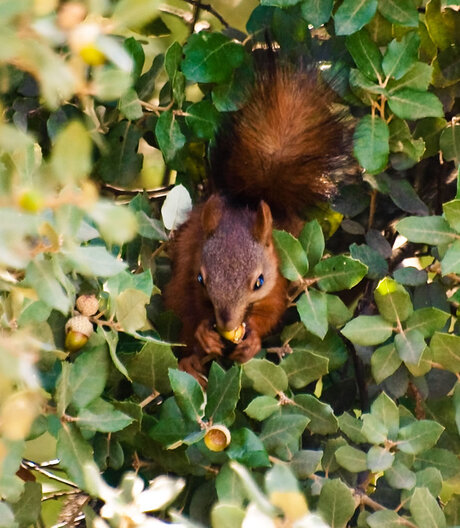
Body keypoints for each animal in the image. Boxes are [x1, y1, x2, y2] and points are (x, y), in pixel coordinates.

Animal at [164, 60, 346, 384]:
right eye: (201, 279)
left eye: (259, 282)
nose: (227, 322)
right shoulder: (187, 274)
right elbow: (190, 311)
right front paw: (204, 334)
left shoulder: (280, 283)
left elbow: (270, 313)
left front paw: (252, 342)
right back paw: (190, 363)